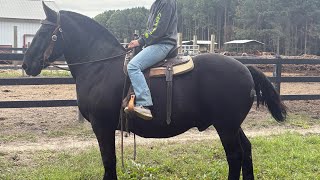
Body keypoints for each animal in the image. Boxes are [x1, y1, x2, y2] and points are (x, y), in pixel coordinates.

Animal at [23, 3, 288, 180]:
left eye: (44, 32)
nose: (26, 64)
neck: (100, 66)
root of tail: (244, 67)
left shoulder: (102, 126)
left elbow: (109, 162)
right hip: (232, 125)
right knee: (247, 151)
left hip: (226, 126)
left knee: (235, 156)